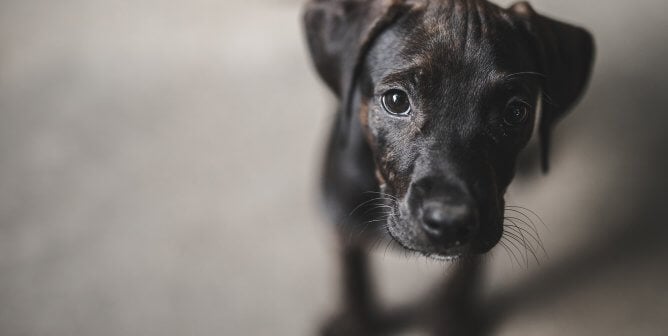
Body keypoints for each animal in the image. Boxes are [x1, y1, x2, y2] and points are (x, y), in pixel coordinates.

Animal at [304, 0, 596, 334]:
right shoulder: (342, 220)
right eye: (395, 100)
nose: (449, 223)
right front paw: (356, 322)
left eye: (515, 112)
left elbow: (464, 276)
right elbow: (352, 277)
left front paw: (451, 317)